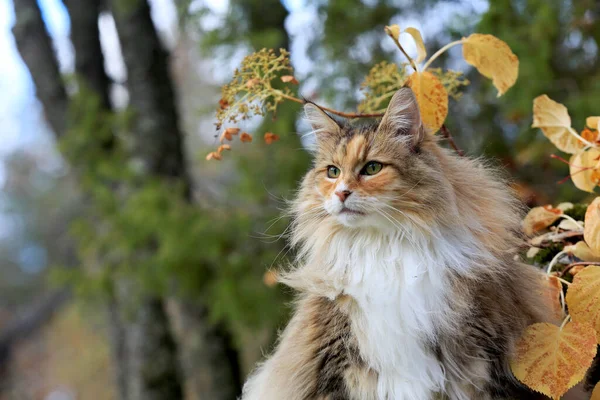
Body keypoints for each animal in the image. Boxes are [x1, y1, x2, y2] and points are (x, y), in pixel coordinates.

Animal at [243, 88, 592, 400]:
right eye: (332, 172)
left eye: (371, 168)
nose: (340, 193)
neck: (384, 249)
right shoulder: (333, 367)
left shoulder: (485, 364)